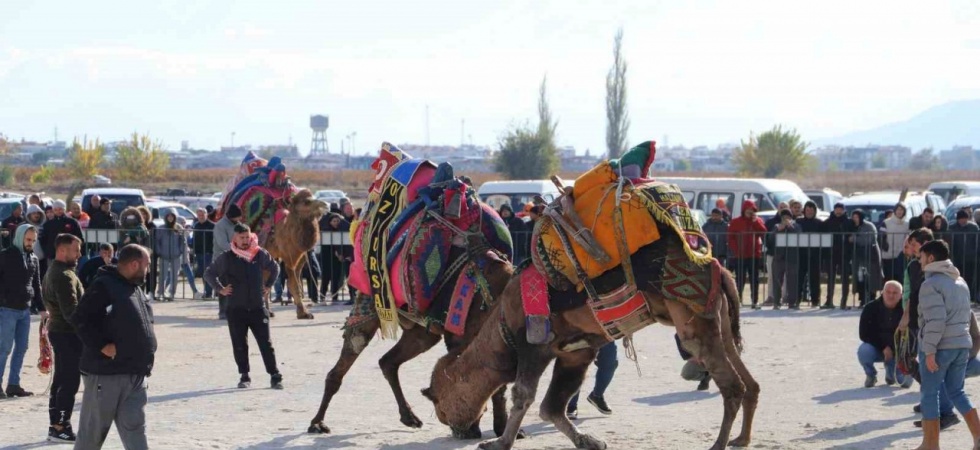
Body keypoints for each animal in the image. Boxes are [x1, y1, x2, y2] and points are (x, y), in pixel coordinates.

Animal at [262, 188, 328, 318]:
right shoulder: (289, 257)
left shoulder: (300, 256)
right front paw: (303, 313)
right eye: (307, 202)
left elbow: (297, 283)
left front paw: (303, 312)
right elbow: (294, 284)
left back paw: (269, 311)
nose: (325, 205)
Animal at [422, 232, 756, 450]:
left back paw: (718, 444)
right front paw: (589, 441)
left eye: (439, 403)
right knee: (748, 380)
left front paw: (498, 443)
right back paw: (741, 439)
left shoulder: (533, 345)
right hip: (720, 323)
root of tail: (718, 267)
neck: (502, 321)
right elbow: (552, 406)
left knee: (732, 385)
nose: (454, 428)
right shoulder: (576, 352)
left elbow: (524, 395)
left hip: (693, 321)